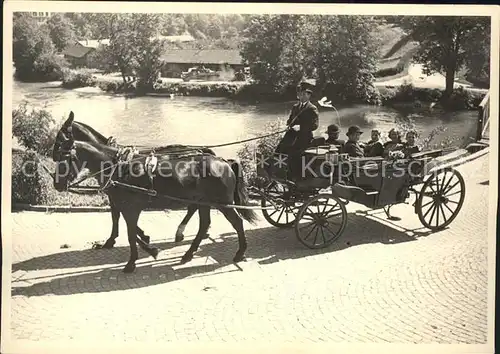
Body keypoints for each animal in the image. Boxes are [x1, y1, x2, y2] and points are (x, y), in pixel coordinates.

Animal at [53, 114, 216, 249]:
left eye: (60, 137)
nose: (53, 154)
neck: (114, 162)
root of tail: (202, 151)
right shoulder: (116, 195)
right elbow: (120, 214)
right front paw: (142, 235)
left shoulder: (116, 195)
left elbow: (116, 215)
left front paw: (112, 240)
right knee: (193, 207)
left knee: (193, 207)